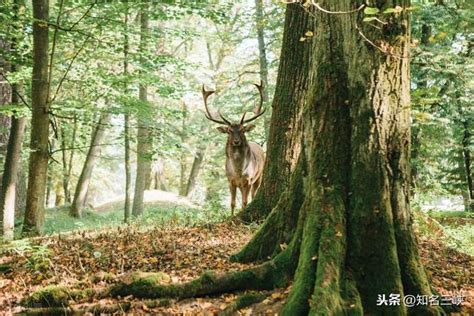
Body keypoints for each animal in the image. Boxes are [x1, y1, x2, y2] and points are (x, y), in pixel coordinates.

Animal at [201, 80, 264, 216]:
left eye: (242, 130)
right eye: (229, 130)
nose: (236, 141)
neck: (238, 172)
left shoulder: (248, 180)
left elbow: (245, 202)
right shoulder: (230, 180)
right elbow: (232, 203)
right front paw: (231, 216)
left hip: (259, 176)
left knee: (253, 195)